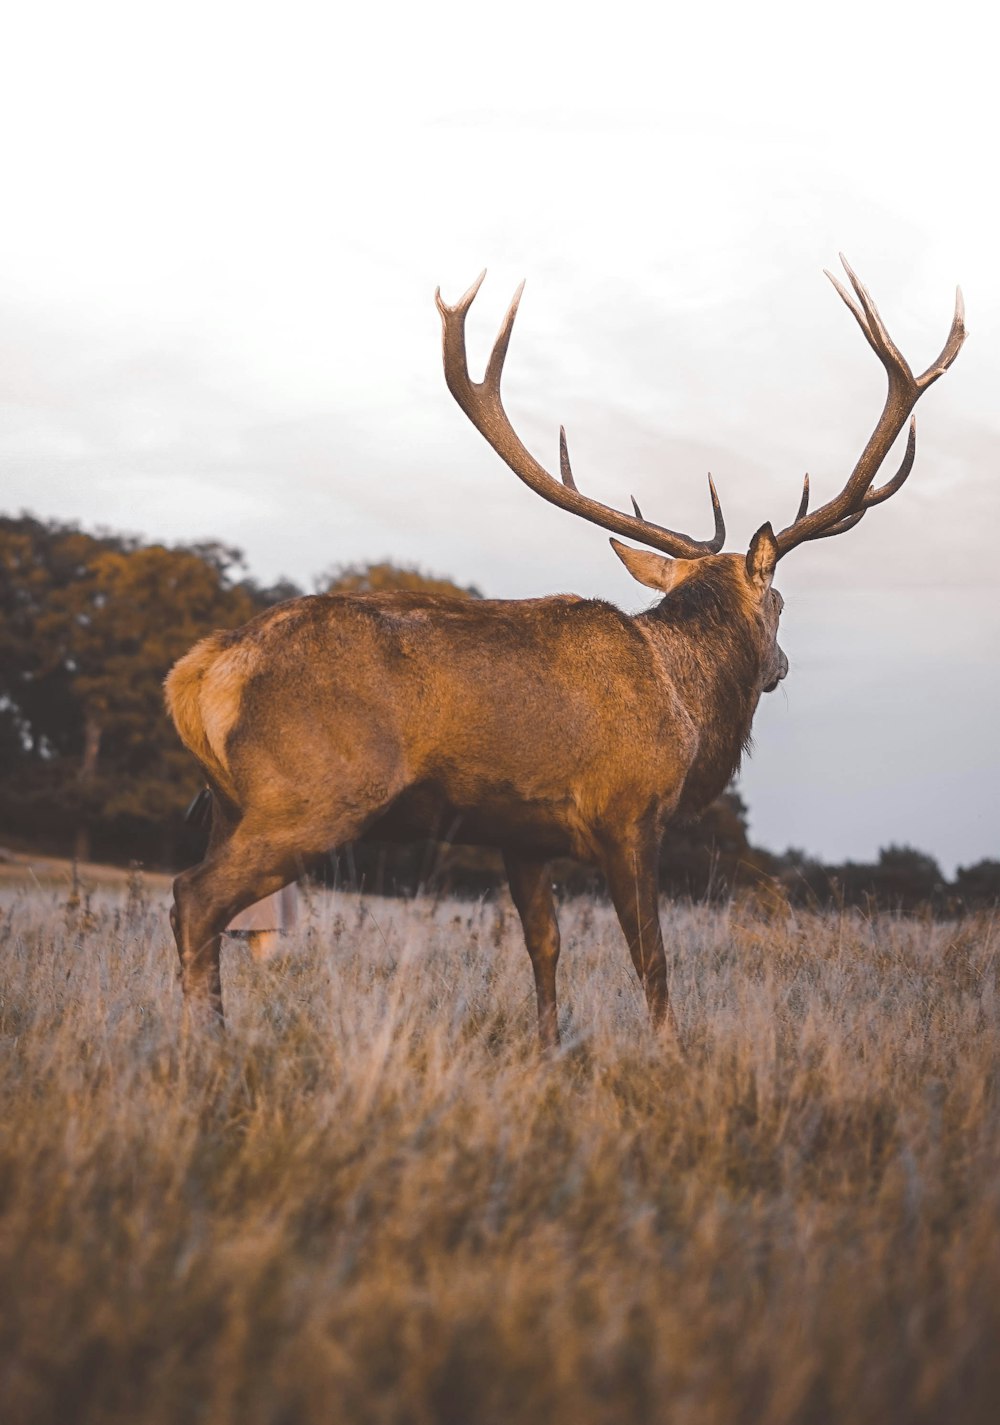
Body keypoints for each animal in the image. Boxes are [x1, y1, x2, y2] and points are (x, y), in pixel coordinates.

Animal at [164, 256, 962, 1048]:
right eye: (781, 603)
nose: (782, 666)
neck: (686, 707)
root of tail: (202, 671)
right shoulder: (629, 813)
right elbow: (651, 958)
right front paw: (668, 1050)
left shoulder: (522, 834)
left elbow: (544, 948)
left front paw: (548, 1048)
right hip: (312, 791)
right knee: (193, 897)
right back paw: (206, 1048)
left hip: (230, 804)